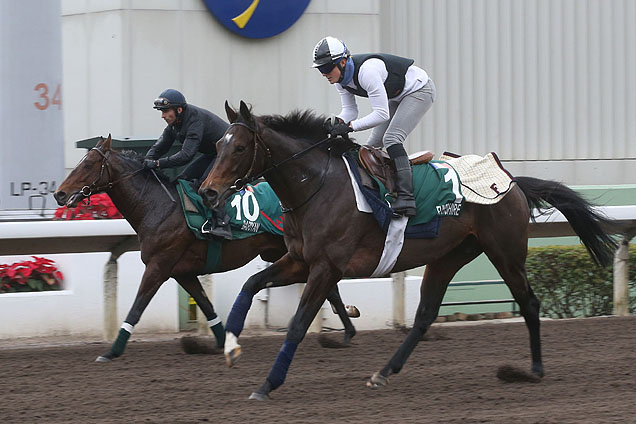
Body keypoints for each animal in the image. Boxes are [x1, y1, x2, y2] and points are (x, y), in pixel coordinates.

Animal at [52, 135, 360, 362]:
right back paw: (347, 330)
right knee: (328, 287)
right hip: (282, 253)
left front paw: (111, 351)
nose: (60, 194)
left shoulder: (158, 266)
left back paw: (346, 329)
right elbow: (206, 306)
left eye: (89, 164)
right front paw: (223, 343)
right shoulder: (182, 272)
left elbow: (137, 308)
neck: (157, 206)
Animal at [199, 101, 616, 400]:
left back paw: (535, 370)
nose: (208, 191)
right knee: (425, 315)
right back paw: (383, 373)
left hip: (505, 252)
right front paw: (231, 346)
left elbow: (298, 325)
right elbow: (250, 284)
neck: (316, 186)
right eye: (218, 145)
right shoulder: (299, 261)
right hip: (449, 256)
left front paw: (267, 384)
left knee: (529, 303)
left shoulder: (326, 267)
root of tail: (511, 181)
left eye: (239, 147)